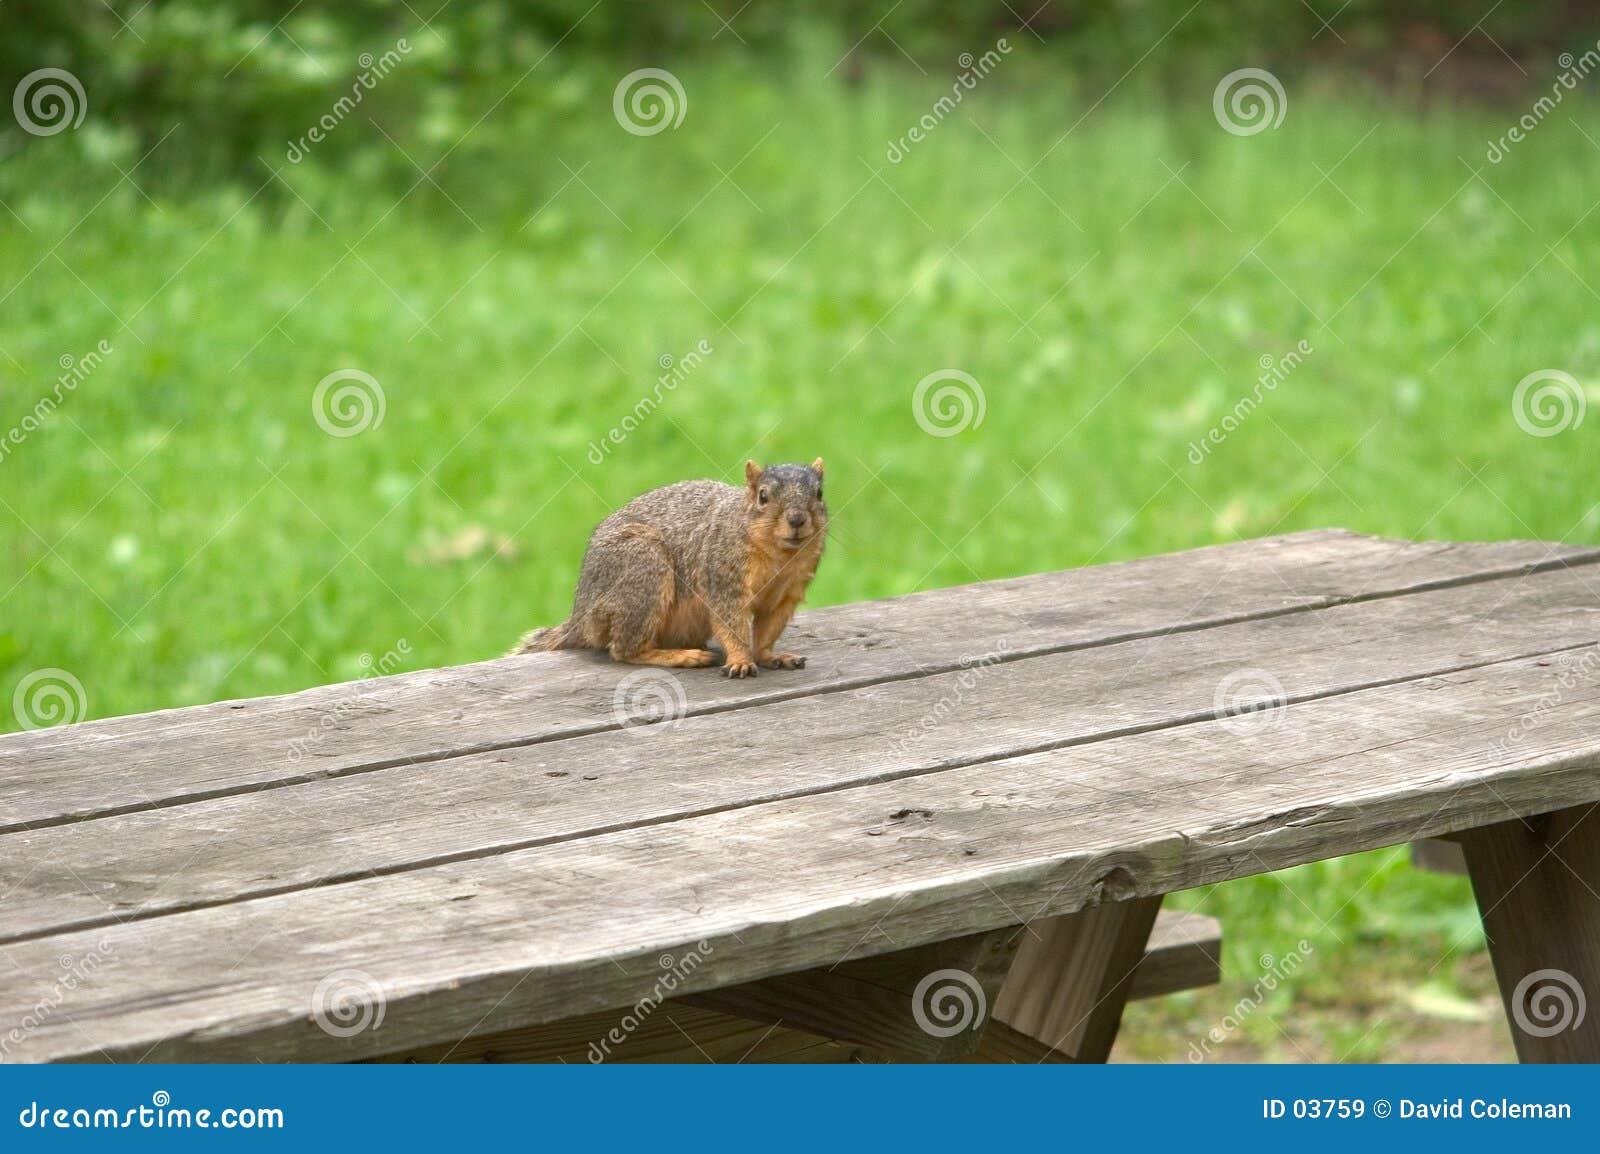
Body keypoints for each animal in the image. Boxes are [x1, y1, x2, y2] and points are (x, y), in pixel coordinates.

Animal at [512, 457, 832, 675]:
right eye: (763, 496)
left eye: (819, 494)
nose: (797, 519)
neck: (781, 555)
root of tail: (582, 613)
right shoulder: (722, 576)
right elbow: (731, 622)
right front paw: (741, 660)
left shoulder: (786, 593)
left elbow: (768, 630)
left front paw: (769, 655)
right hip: (642, 568)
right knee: (624, 649)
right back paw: (682, 656)